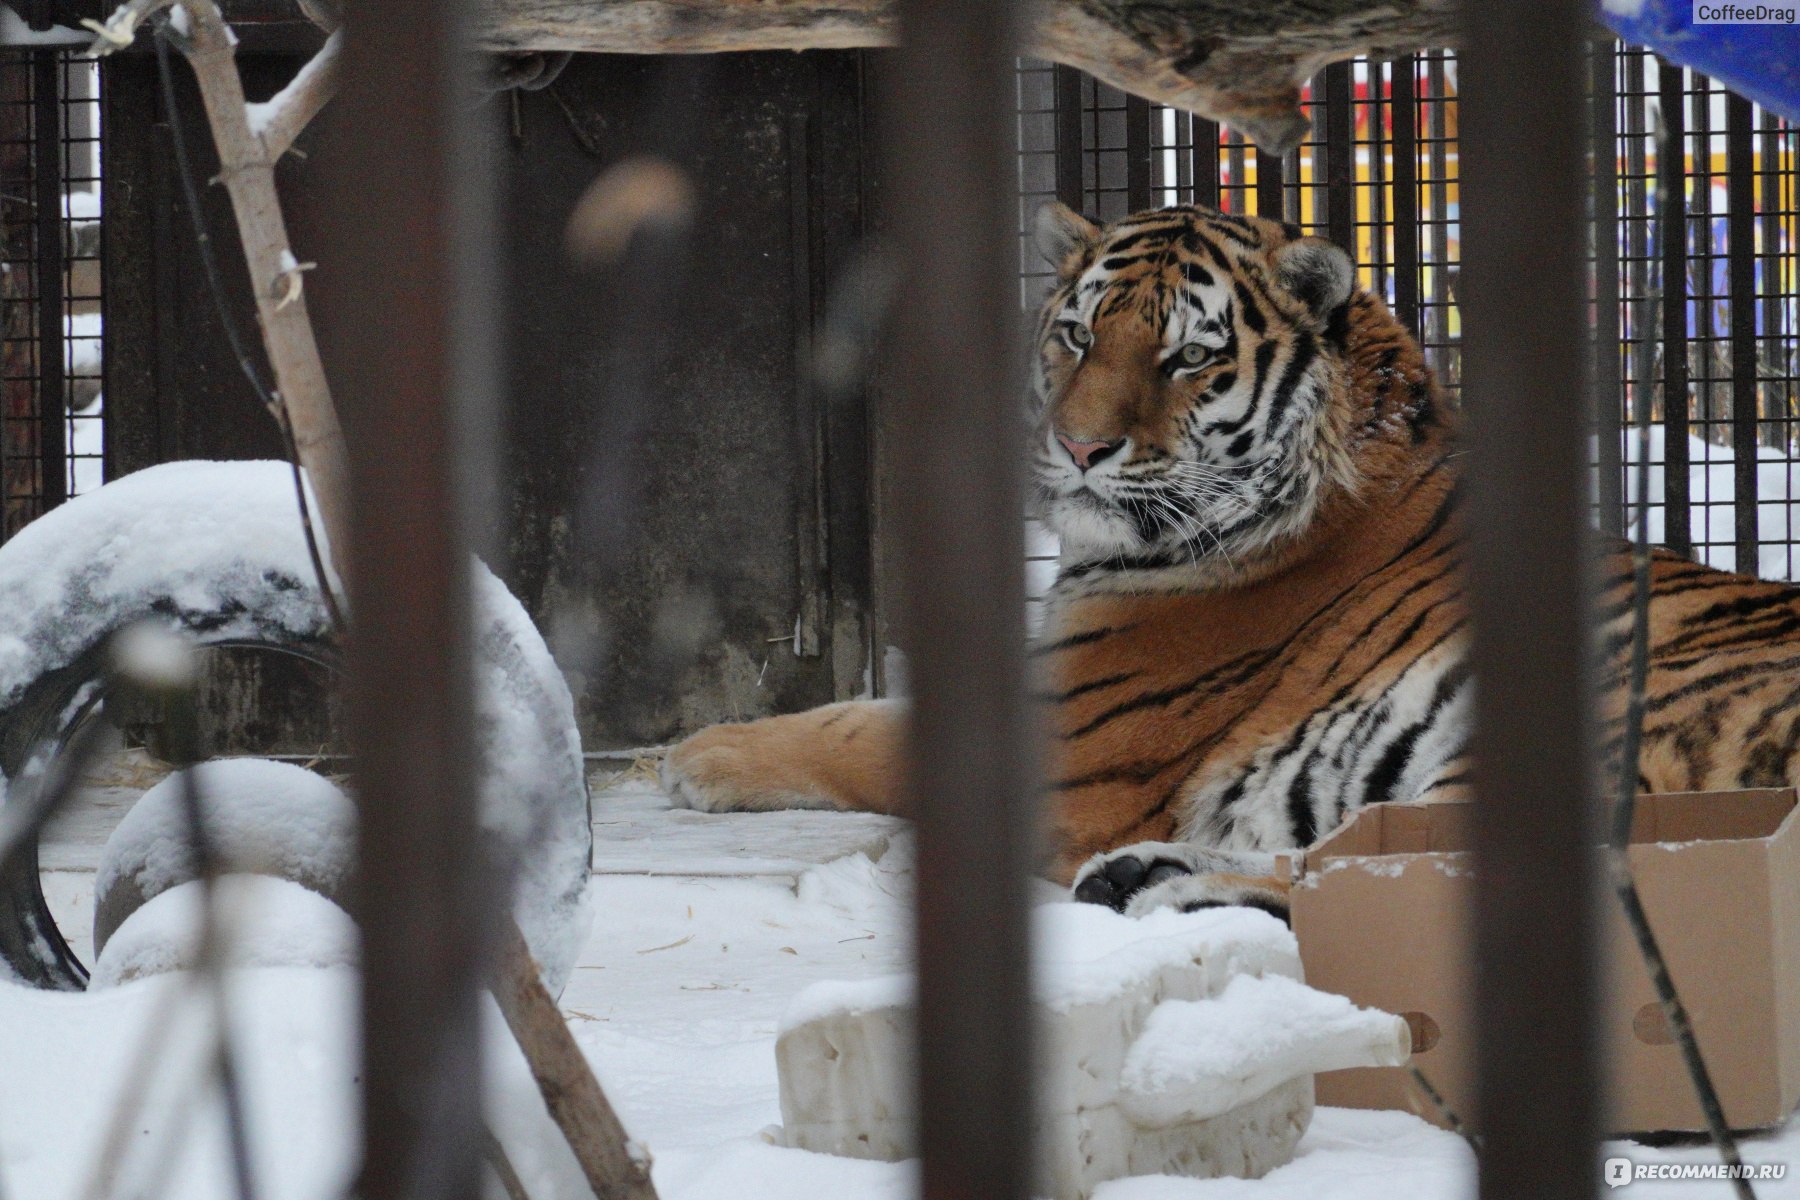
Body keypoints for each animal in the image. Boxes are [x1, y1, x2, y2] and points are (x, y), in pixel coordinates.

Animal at [655, 201, 1800, 928]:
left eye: (1189, 356)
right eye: (1077, 336)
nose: (1079, 448)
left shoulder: (1067, 736)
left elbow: (859, 729)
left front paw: (700, 754)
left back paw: (1159, 886)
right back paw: (1138, 876)